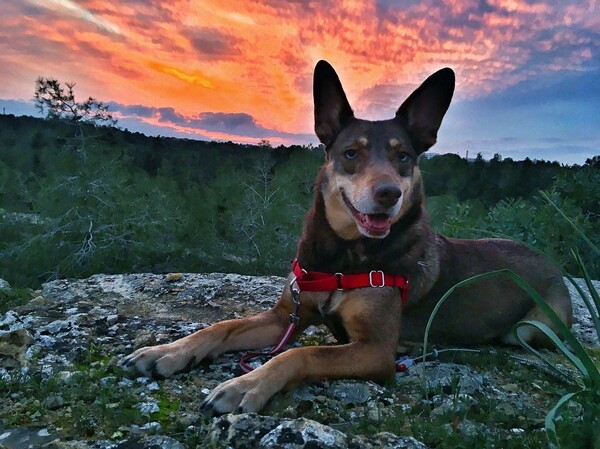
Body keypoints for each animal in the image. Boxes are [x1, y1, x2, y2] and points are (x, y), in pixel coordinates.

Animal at [122, 59, 572, 412]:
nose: (388, 194)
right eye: (351, 154)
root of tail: (551, 263)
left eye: (403, 156)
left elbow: (302, 354)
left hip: (531, 329)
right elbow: (220, 328)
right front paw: (167, 352)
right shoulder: (285, 316)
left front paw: (246, 385)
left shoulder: (374, 351)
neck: (342, 256)